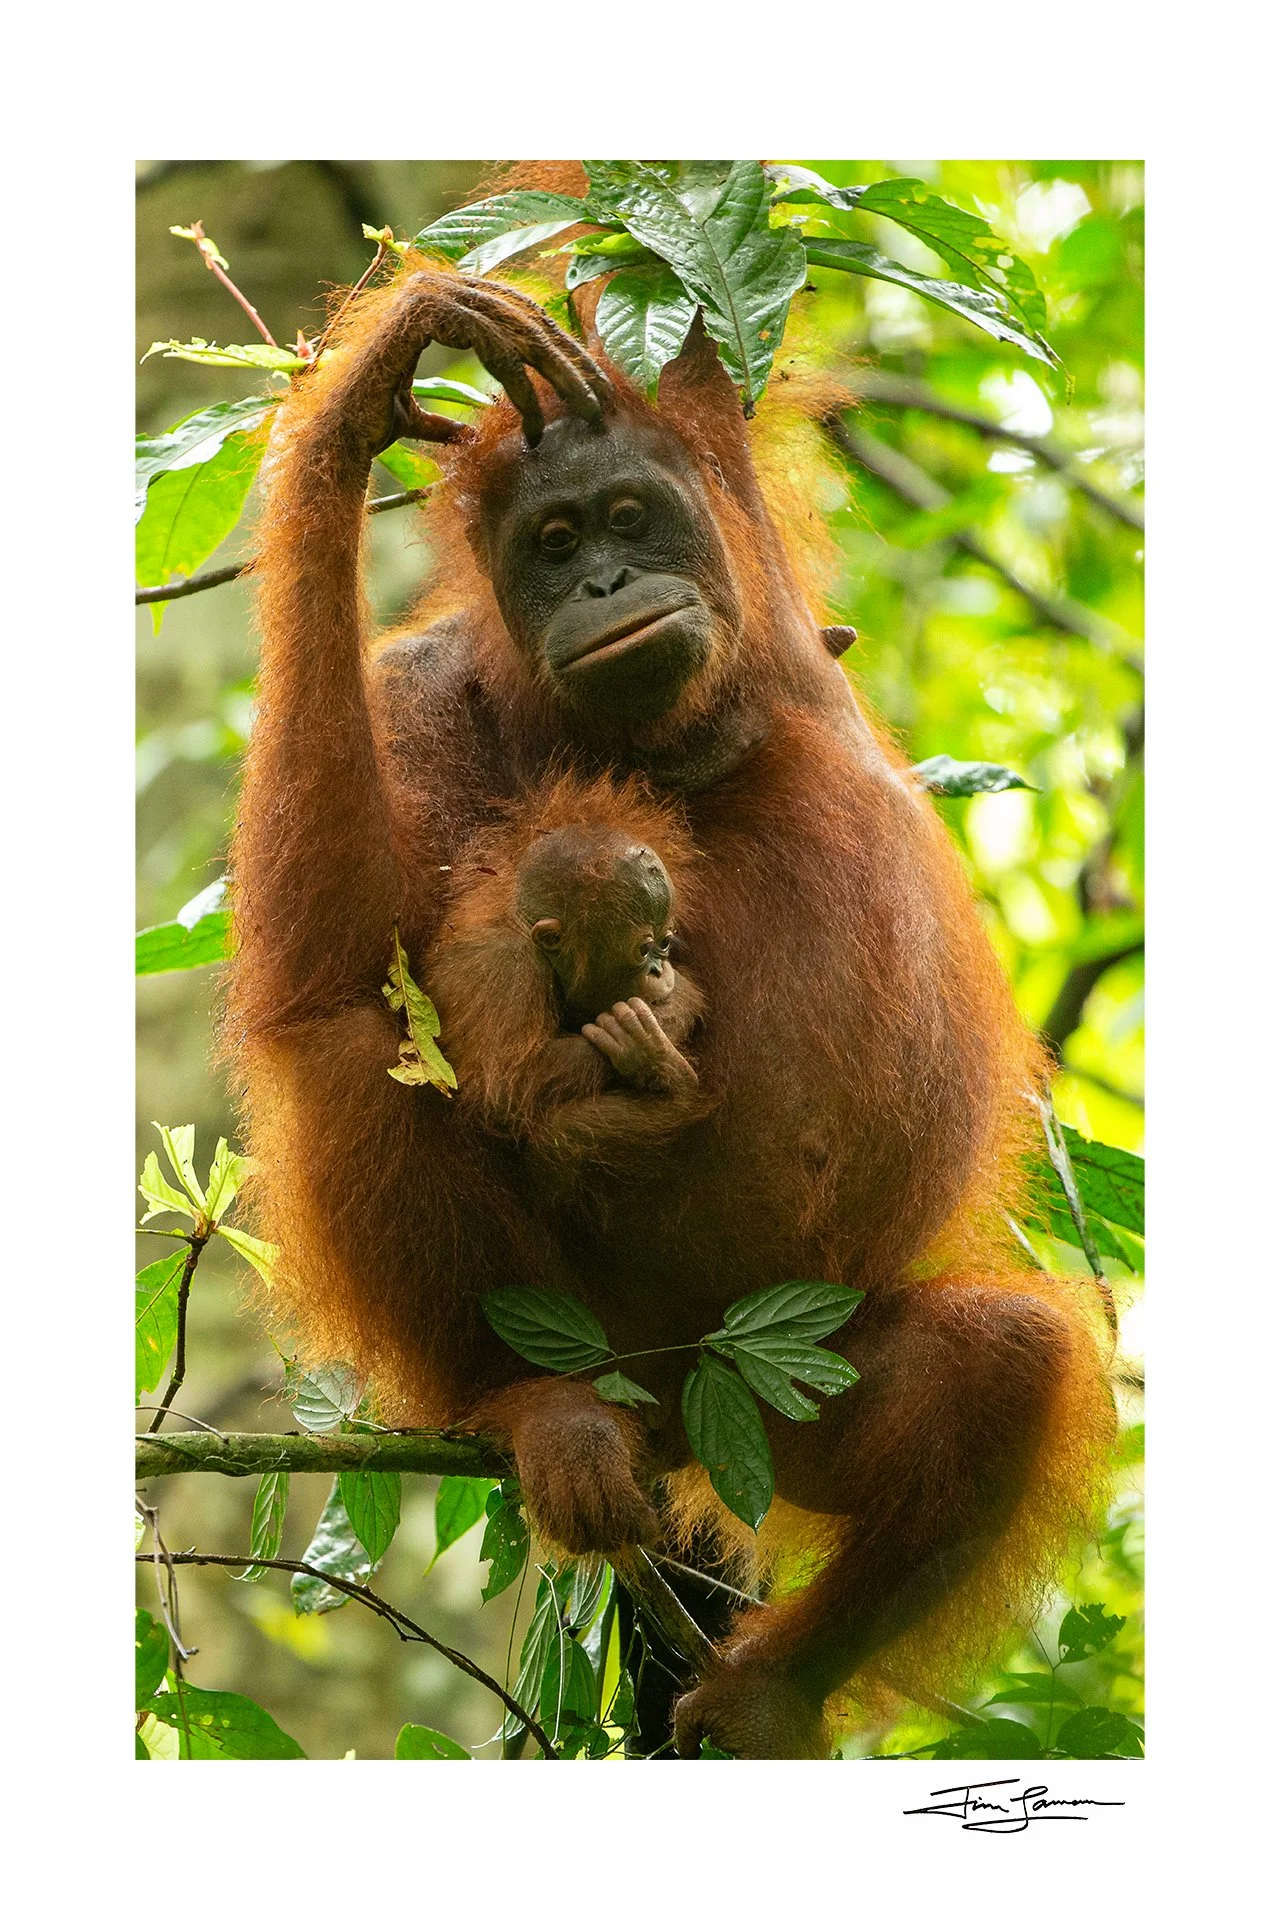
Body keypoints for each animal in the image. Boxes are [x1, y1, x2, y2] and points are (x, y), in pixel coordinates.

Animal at [227, 227, 1114, 1759]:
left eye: (632, 518)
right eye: (553, 547)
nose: (598, 588)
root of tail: (675, 1415)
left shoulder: (729, 472)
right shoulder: (413, 695)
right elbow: (346, 967)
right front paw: (366, 391)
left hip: (787, 1389)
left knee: (1004, 1362)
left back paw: (772, 1689)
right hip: (623, 1352)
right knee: (351, 1049)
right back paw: (537, 1411)